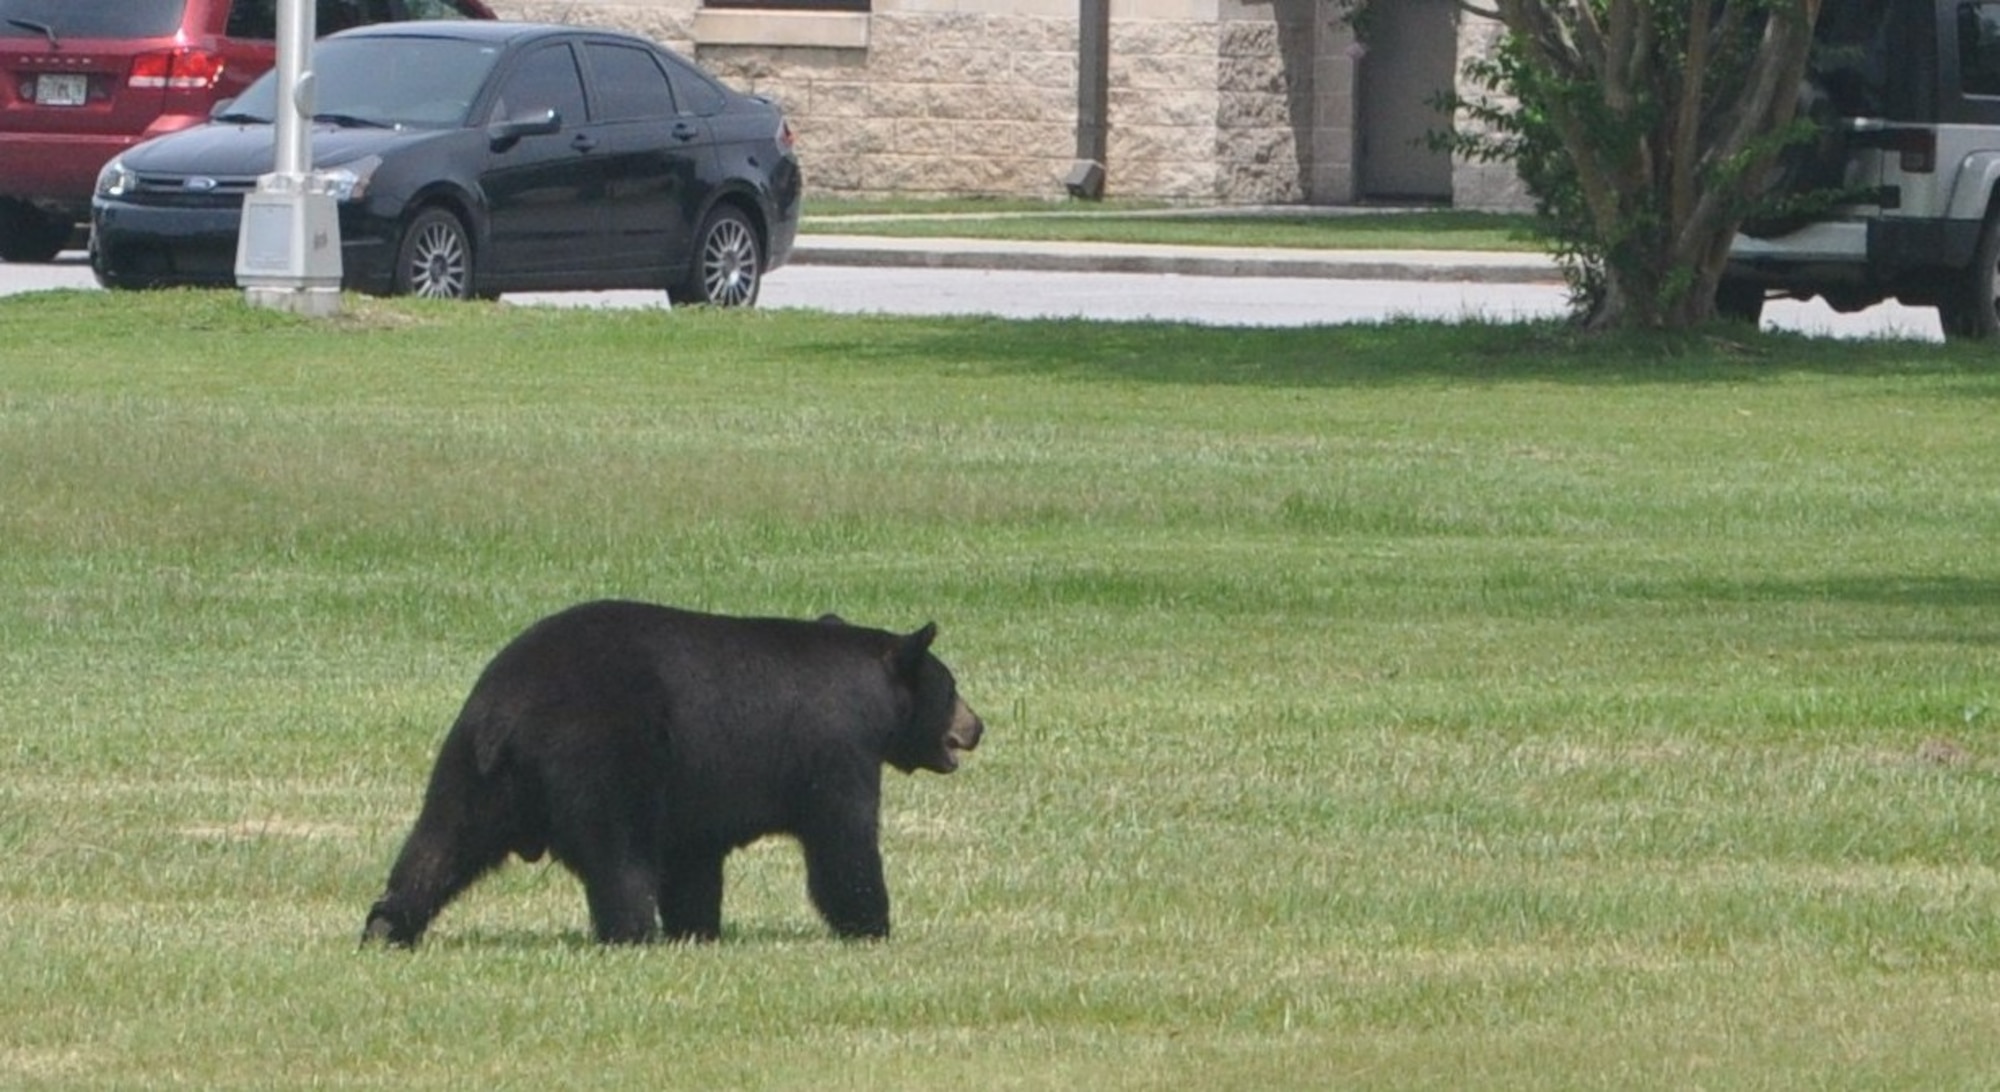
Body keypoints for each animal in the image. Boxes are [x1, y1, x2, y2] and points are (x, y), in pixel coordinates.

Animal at [364, 600, 988, 940]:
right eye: (951, 686)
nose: (978, 725)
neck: (872, 695)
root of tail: (506, 712)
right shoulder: (836, 749)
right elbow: (842, 841)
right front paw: (872, 926)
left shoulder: (698, 792)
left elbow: (694, 861)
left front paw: (699, 930)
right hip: (599, 756)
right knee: (619, 855)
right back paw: (634, 933)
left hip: (471, 768)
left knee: (439, 842)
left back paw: (387, 926)